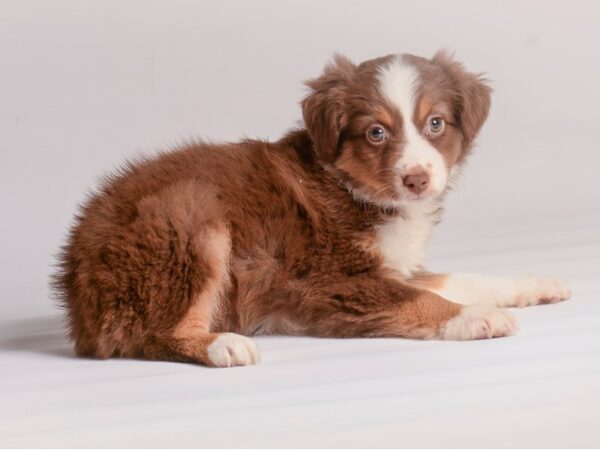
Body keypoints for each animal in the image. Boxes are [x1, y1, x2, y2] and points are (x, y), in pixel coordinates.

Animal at [52, 52, 572, 368]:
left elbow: (460, 279)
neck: (356, 189)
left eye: (436, 123)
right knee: (157, 332)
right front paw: (479, 318)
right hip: (187, 219)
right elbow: (420, 299)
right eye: (376, 133)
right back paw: (224, 344)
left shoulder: (393, 266)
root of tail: (74, 287)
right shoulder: (332, 283)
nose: (417, 180)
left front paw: (535, 284)